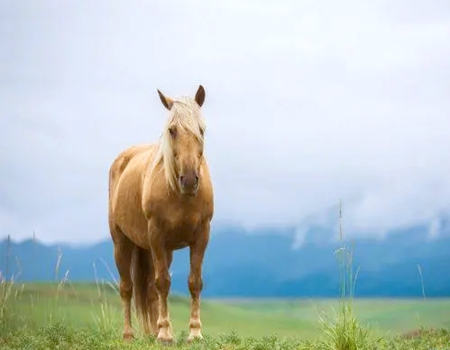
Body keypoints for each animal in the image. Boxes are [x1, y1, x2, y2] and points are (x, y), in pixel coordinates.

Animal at [109, 86, 214, 344]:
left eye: (201, 129)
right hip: (123, 243)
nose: (189, 180)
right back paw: (129, 334)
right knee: (127, 287)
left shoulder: (202, 235)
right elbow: (163, 282)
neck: (180, 195)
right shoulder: (156, 235)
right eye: (172, 130)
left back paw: (151, 331)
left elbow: (194, 282)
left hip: (159, 250)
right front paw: (165, 333)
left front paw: (194, 332)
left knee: (148, 289)